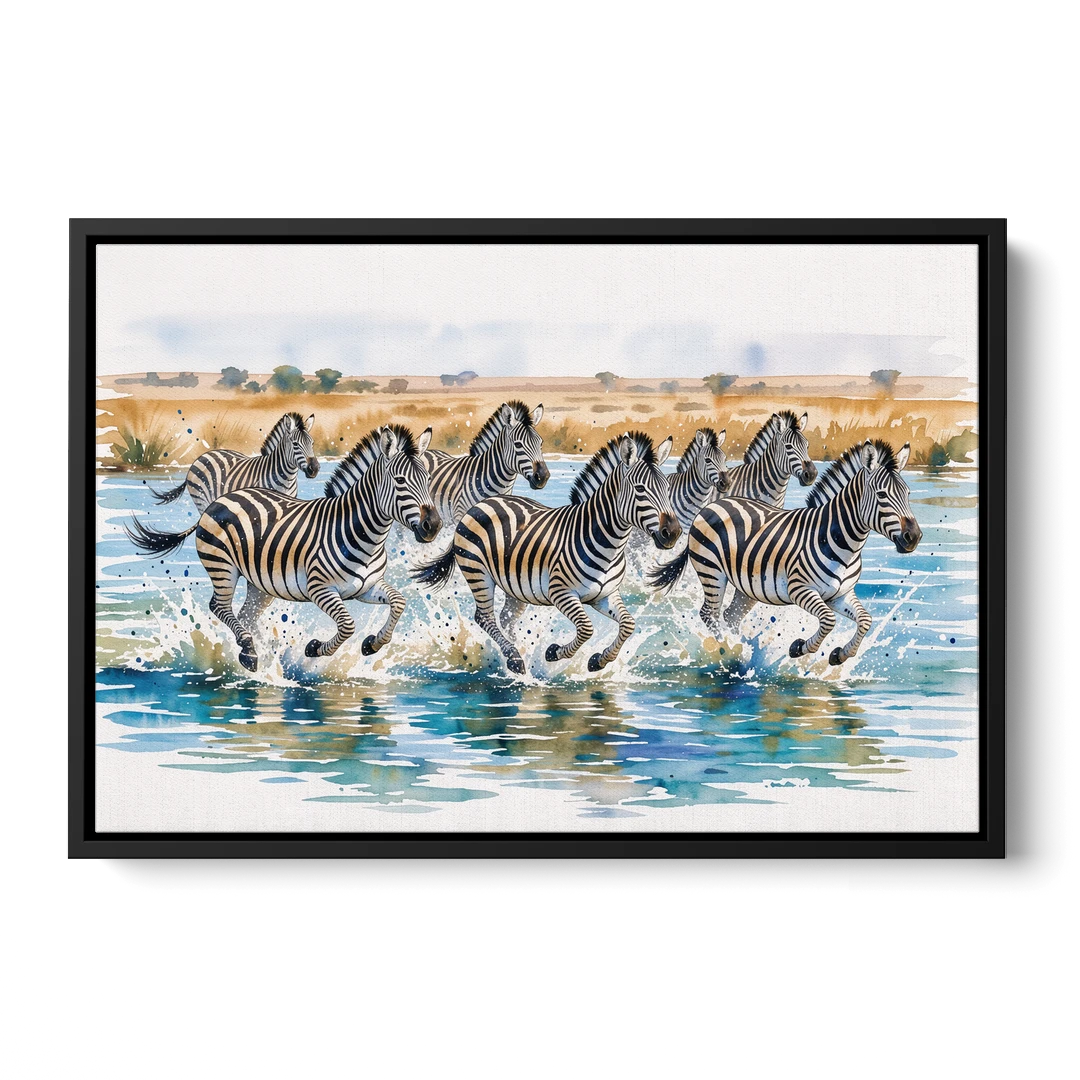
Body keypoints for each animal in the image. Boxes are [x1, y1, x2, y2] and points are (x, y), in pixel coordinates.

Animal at [128, 425, 441, 672]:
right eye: (400, 481)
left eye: (428, 480)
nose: (434, 525)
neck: (363, 533)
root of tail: (223, 497)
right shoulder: (319, 588)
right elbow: (347, 625)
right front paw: (314, 648)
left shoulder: (367, 586)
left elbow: (399, 602)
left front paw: (372, 644)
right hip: (222, 567)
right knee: (219, 606)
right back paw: (249, 651)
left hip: (260, 582)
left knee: (245, 615)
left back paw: (257, 649)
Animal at [413, 431, 679, 675]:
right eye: (640, 489)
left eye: (668, 488)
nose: (673, 532)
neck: (607, 543)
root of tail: (483, 502)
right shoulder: (560, 592)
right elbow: (586, 628)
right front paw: (553, 652)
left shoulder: (605, 595)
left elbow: (628, 625)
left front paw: (598, 661)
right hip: (477, 572)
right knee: (484, 617)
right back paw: (514, 659)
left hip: (514, 585)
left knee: (505, 618)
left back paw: (519, 650)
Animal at [647, 439, 921, 666]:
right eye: (882, 495)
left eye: (908, 494)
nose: (914, 537)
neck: (843, 541)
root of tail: (714, 503)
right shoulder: (800, 588)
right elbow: (828, 620)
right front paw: (799, 648)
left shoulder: (840, 594)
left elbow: (865, 620)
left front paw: (840, 654)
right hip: (712, 571)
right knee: (710, 614)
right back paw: (727, 650)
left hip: (746, 586)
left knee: (729, 615)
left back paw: (738, 648)